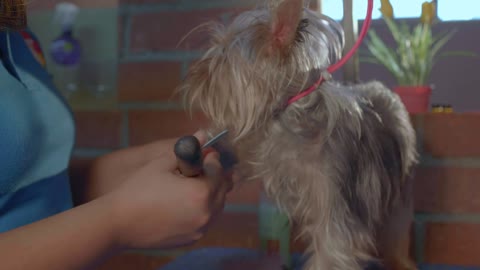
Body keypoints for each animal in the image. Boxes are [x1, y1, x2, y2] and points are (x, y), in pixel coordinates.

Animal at [178, 1, 418, 268]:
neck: (287, 114)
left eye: (222, 57)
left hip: (400, 193)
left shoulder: (334, 211)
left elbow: (332, 251)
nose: (193, 74)